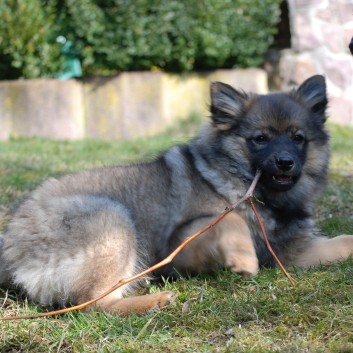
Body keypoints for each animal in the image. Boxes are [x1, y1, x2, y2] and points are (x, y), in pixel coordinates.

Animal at [0, 75, 352, 314]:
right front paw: (243, 259)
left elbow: (344, 241)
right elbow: (232, 221)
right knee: (92, 303)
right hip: (113, 218)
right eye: (260, 139)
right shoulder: (180, 242)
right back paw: (157, 299)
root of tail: (11, 246)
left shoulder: (292, 251)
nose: (285, 162)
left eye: (298, 138)